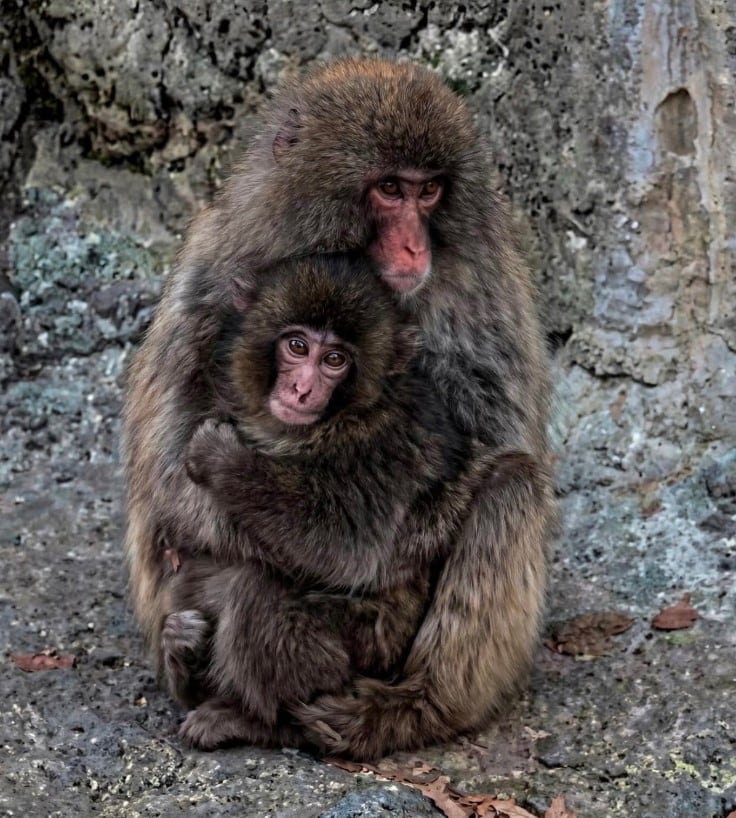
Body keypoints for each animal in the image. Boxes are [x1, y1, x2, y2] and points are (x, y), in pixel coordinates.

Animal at [157, 252, 477, 749]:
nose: (302, 390)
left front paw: (220, 457)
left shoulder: (384, 444)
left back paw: (260, 721)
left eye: (334, 360)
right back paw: (184, 655)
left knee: (257, 588)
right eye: (296, 346)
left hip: (358, 656)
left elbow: (345, 550)